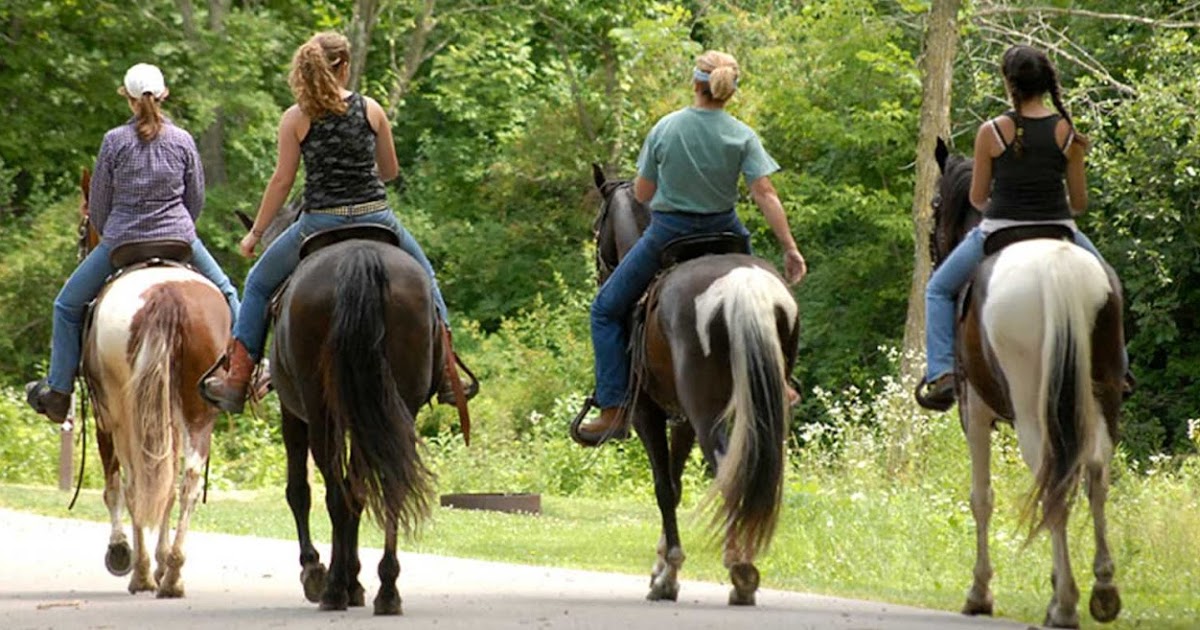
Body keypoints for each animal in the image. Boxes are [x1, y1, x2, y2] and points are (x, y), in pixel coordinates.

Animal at [77, 172, 232, 597]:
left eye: (82, 227)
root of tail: (165, 294)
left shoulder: (104, 416)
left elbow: (115, 486)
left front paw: (122, 554)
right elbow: (166, 486)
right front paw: (163, 563)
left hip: (122, 412)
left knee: (134, 484)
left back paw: (142, 572)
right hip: (198, 410)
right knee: (186, 481)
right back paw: (173, 573)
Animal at [242, 201, 437, 614]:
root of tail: (360, 257)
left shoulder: (292, 416)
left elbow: (299, 491)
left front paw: (317, 570)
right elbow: (358, 491)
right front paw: (355, 580)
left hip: (320, 414)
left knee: (334, 491)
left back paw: (332, 588)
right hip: (396, 408)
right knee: (386, 486)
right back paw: (386, 589)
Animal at [576, 164, 800, 605]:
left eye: (597, 227)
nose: (599, 270)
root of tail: (741, 285)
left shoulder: (648, 413)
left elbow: (664, 487)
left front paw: (667, 575)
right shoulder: (682, 421)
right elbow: (677, 487)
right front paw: (663, 567)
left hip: (705, 410)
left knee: (728, 467)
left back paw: (740, 570)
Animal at [930, 138, 1124, 628]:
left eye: (935, 204)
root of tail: (1055, 269)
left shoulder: (974, 409)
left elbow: (981, 497)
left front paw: (980, 592)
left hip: (1031, 407)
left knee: (1052, 476)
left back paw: (1065, 605)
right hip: (1104, 391)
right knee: (1095, 471)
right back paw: (1103, 589)